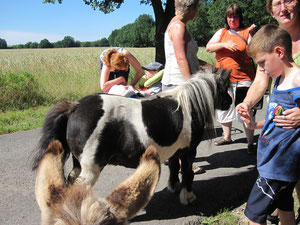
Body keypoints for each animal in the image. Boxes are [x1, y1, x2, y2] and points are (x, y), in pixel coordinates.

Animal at [32, 67, 233, 206]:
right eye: (226, 88)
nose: (231, 102)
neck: (188, 105)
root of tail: (75, 107)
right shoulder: (189, 151)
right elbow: (188, 173)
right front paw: (188, 197)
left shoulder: (175, 151)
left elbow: (174, 168)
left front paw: (174, 187)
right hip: (91, 168)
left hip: (78, 163)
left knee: (71, 181)